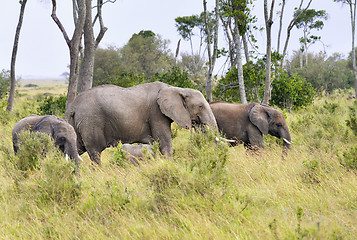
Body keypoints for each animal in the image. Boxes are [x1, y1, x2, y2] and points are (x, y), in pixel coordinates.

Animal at [67, 81, 217, 165]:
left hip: (77, 123)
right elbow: (165, 143)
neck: (176, 88)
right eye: (201, 106)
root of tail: (73, 107)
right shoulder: (156, 114)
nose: (197, 124)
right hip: (90, 122)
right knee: (95, 153)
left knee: (75, 148)